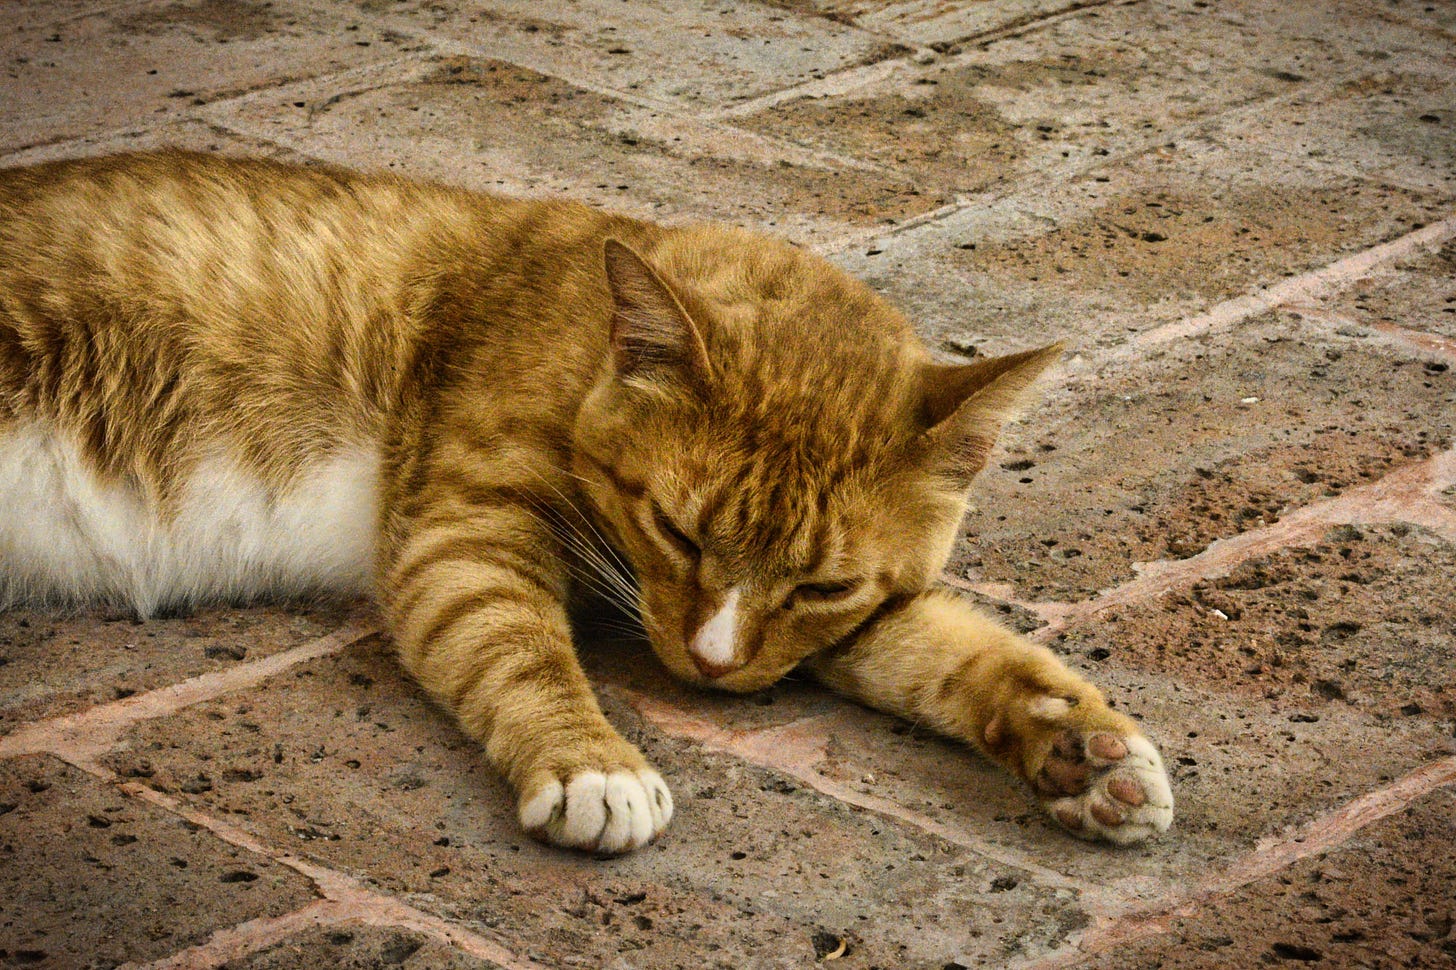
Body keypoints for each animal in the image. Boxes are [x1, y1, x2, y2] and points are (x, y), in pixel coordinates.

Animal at [0, 149, 1170, 844]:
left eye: (824, 585)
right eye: (676, 531)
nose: (711, 669)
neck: (579, 340)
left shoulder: (841, 623)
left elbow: (958, 649)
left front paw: (1080, 750)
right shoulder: (463, 528)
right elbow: (515, 646)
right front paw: (589, 761)